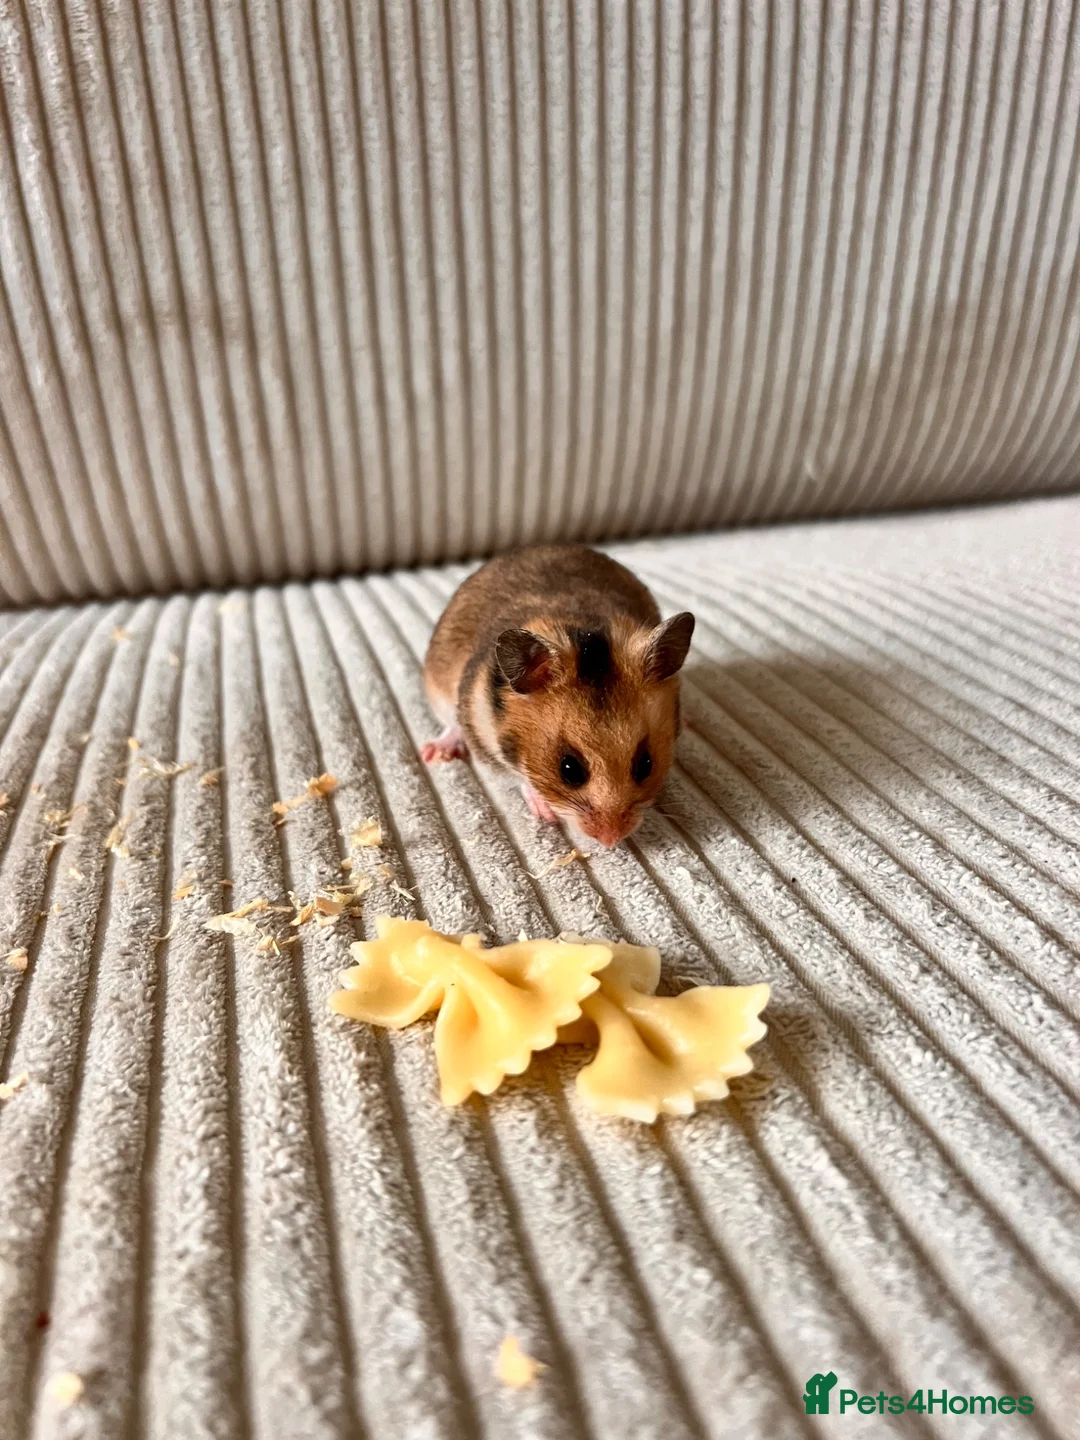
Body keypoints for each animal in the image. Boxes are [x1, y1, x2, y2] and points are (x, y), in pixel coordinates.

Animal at [421, 544, 694, 848]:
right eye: (569, 769)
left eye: (646, 764)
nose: (610, 840)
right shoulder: (482, 743)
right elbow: (516, 779)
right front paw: (547, 814)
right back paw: (433, 754)